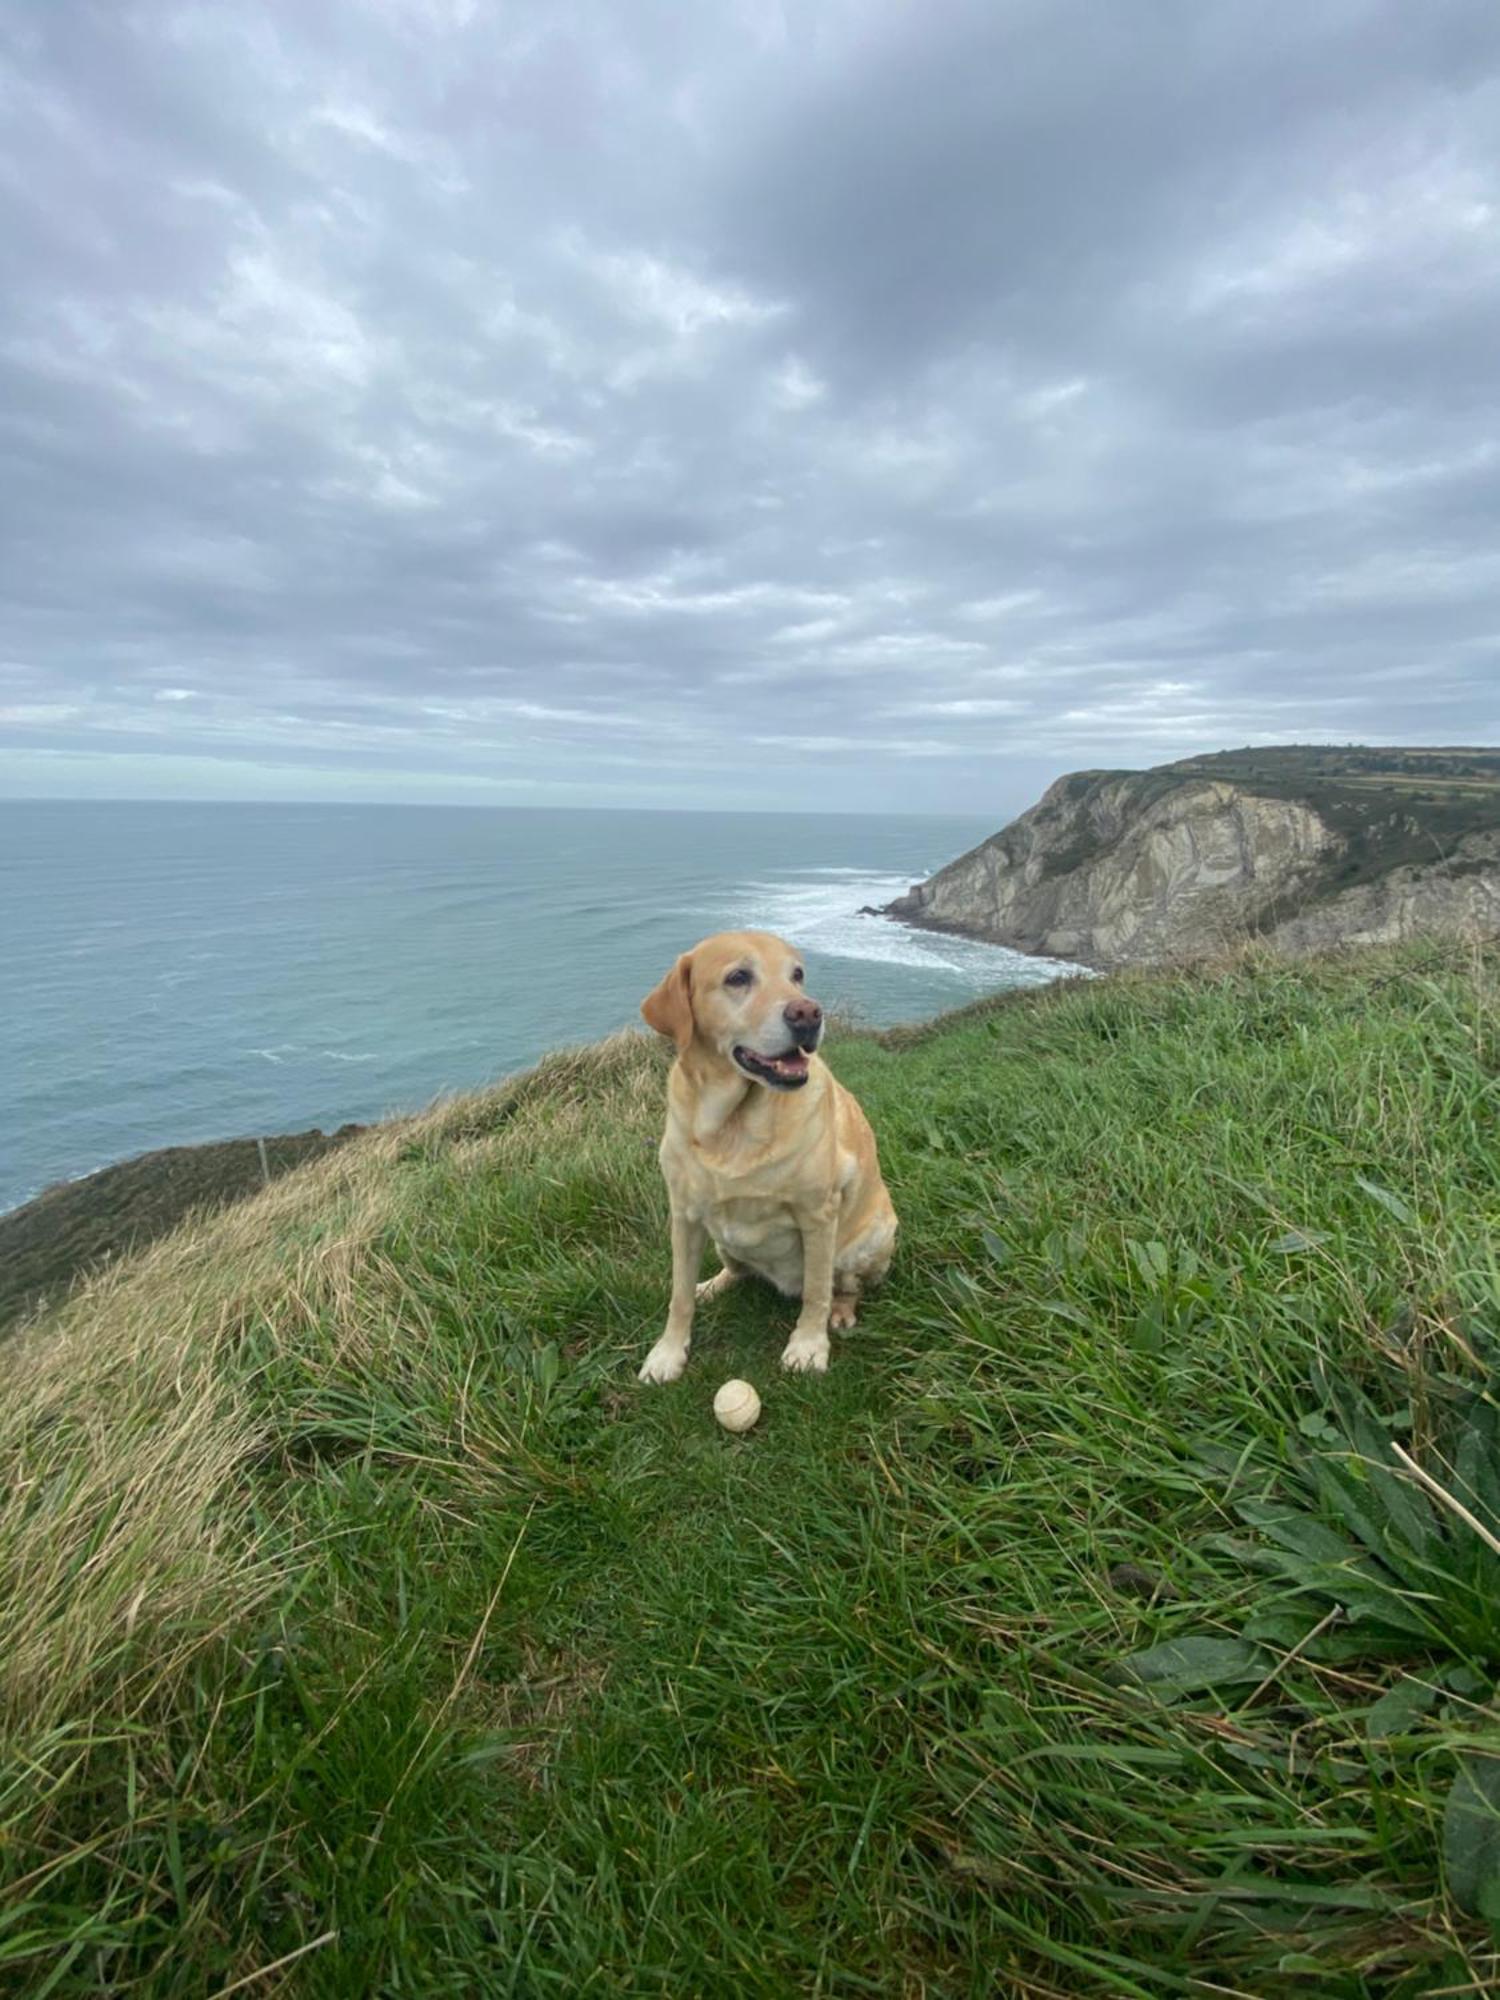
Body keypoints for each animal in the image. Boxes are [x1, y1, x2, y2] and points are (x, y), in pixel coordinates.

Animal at [640, 932, 900, 1384]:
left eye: (797, 974)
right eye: (738, 977)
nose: (808, 1012)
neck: (732, 1127)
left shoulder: (817, 1215)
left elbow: (816, 1290)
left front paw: (808, 1346)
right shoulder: (684, 1216)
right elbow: (678, 1295)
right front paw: (668, 1353)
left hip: (867, 1240)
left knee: (845, 1285)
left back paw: (841, 1312)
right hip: (721, 1240)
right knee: (736, 1270)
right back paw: (712, 1286)